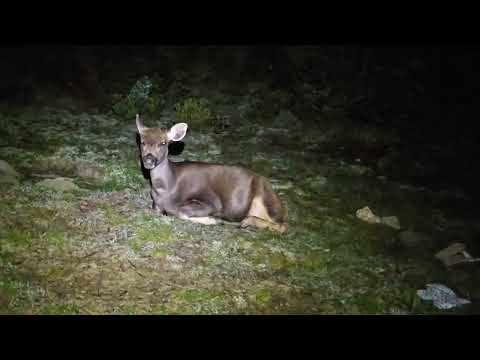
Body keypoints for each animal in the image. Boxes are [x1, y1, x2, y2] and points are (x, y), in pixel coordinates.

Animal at [135, 114, 286, 233]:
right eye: (142, 142)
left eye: (163, 143)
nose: (149, 160)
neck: (166, 189)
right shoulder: (156, 205)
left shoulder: (212, 201)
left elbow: (181, 211)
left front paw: (212, 220)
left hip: (265, 197)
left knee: (283, 225)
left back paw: (245, 222)